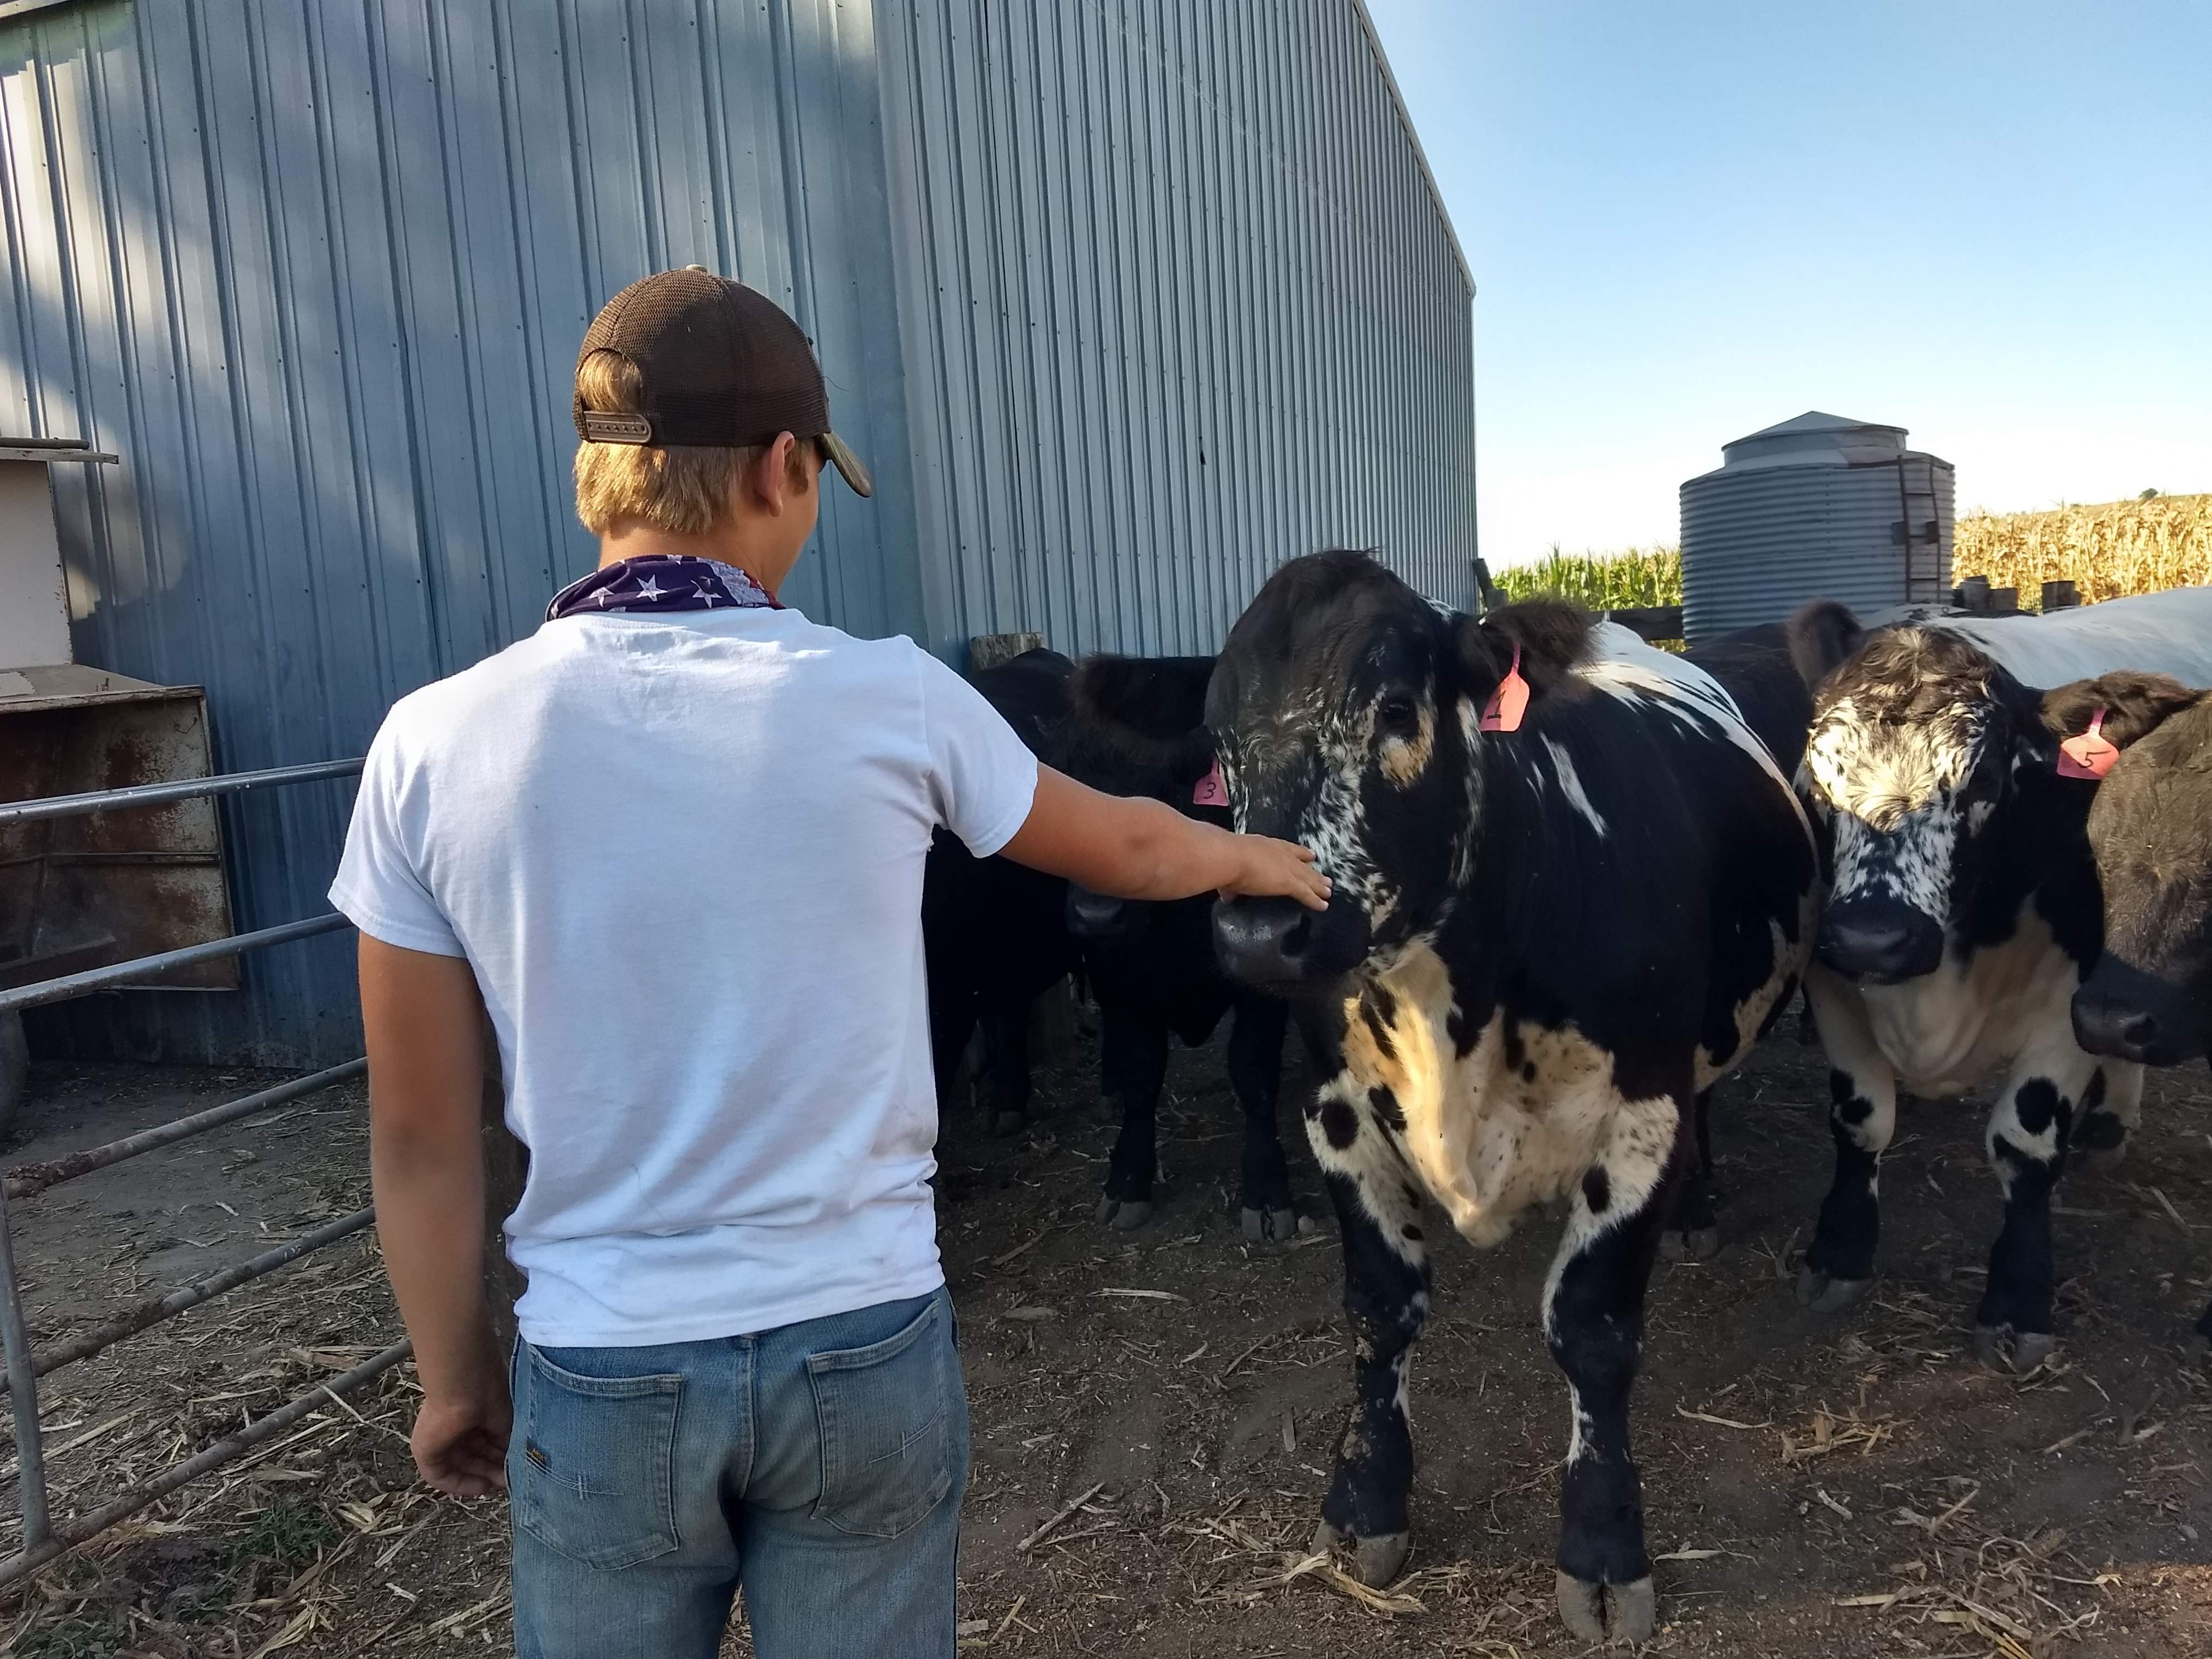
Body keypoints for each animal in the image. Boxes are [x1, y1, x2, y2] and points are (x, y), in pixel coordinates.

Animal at [1057, 655, 1306, 1238]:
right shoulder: (1118, 978)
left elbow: (1253, 1070)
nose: (1095, 914)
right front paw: (1128, 1178)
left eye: (1167, 790)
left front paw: (1268, 1190)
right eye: (1072, 784)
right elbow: (1142, 1070)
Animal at [1196, 551, 1818, 1644]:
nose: (1258, 931)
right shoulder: (1335, 1115)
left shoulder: (1644, 1119)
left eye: (1396, 709)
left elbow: (1594, 1333)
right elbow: (1379, 1311)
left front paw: (1604, 1550)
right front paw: (1364, 1507)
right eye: (1220, 742)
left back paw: (1697, 1212)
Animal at [1785, 586, 2212, 1376]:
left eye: (1983, 777)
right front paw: (1841, 1250)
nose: (1874, 936)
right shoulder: (1831, 982)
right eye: (1818, 778)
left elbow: (2024, 1144)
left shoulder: (2071, 995)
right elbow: (1861, 1121)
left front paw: (2017, 1299)